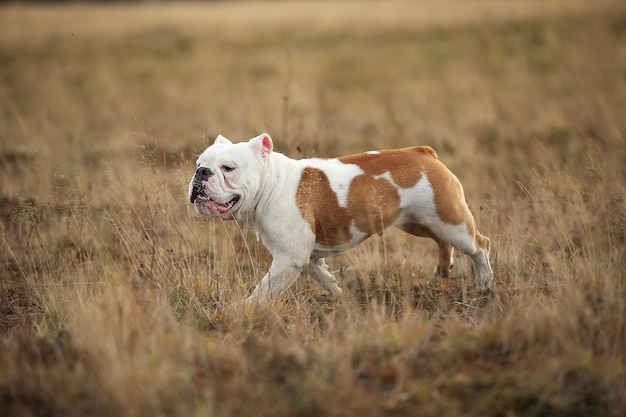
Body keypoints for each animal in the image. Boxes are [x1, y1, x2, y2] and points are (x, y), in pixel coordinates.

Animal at [188, 135, 490, 304]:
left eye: (228, 168)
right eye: (199, 163)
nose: (202, 173)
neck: (272, 183)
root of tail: (423, 152)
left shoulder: (289, 259)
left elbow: (264, 289)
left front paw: (245, 308)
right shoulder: (300, 254)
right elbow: (319, 271)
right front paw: (335, 292)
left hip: (450, 222)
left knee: (480, 246)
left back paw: (485, 283)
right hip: (418, 222)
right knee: (442, 241)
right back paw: (444, 267)